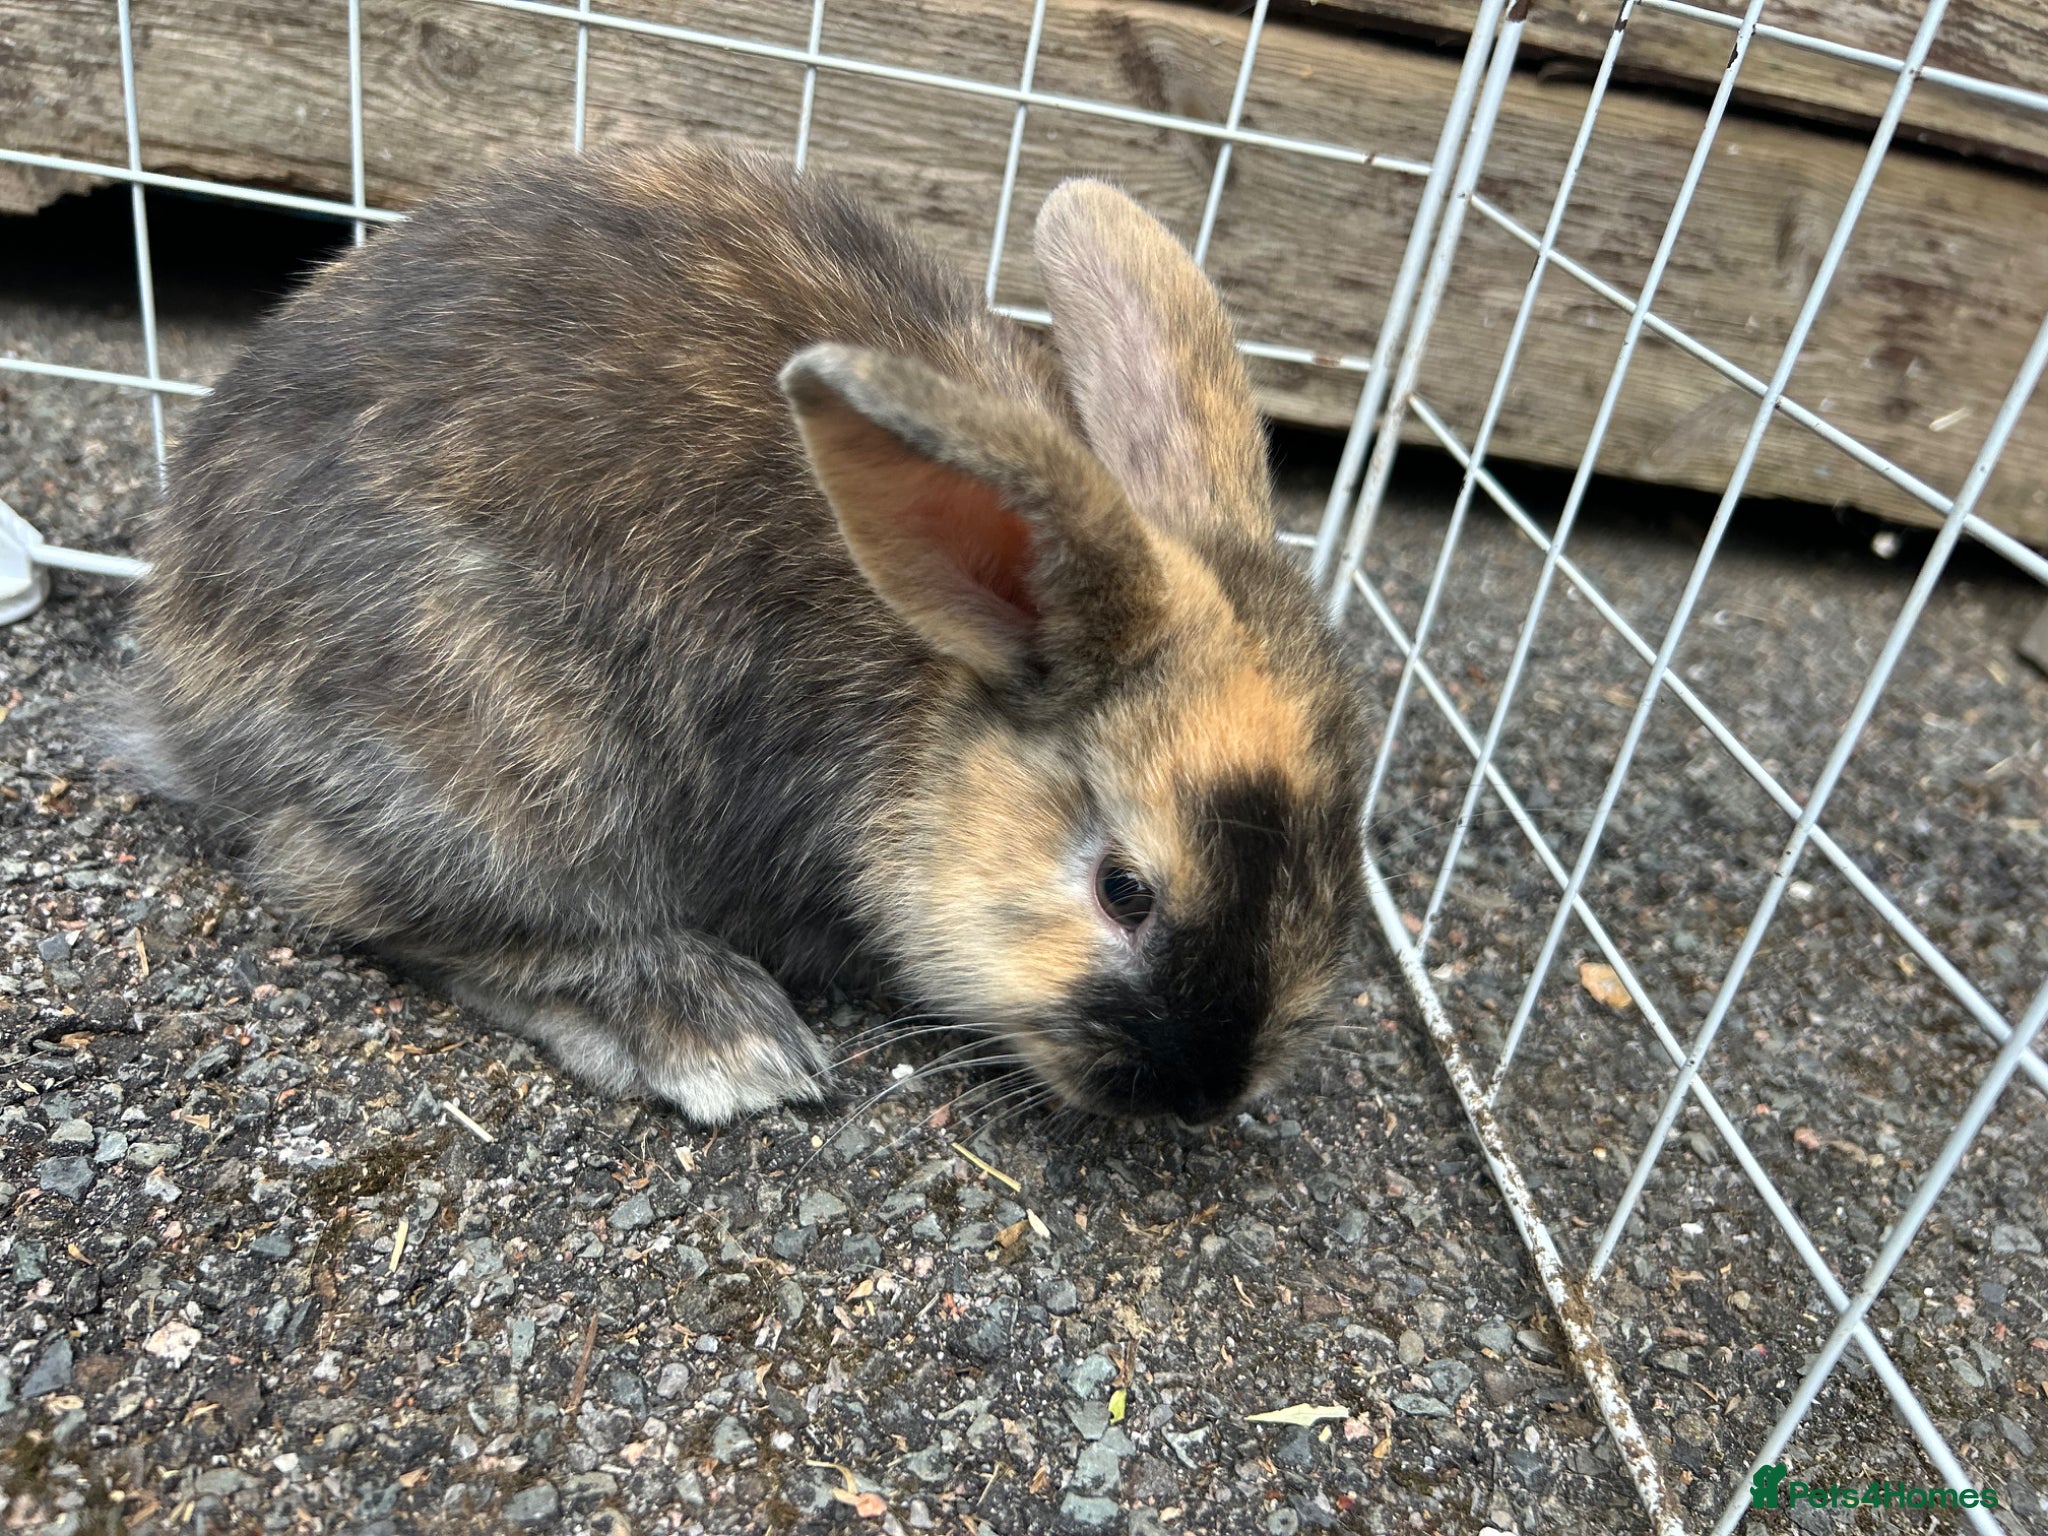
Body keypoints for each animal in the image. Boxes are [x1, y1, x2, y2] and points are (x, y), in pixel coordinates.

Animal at [122, 142, 1367, 1126]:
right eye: (1123, 891)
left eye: (1342, 856)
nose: (1203, 1095)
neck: (934, 692)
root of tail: (178, 661)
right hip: (514, 751)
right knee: (364, 895)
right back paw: (719, 1037)